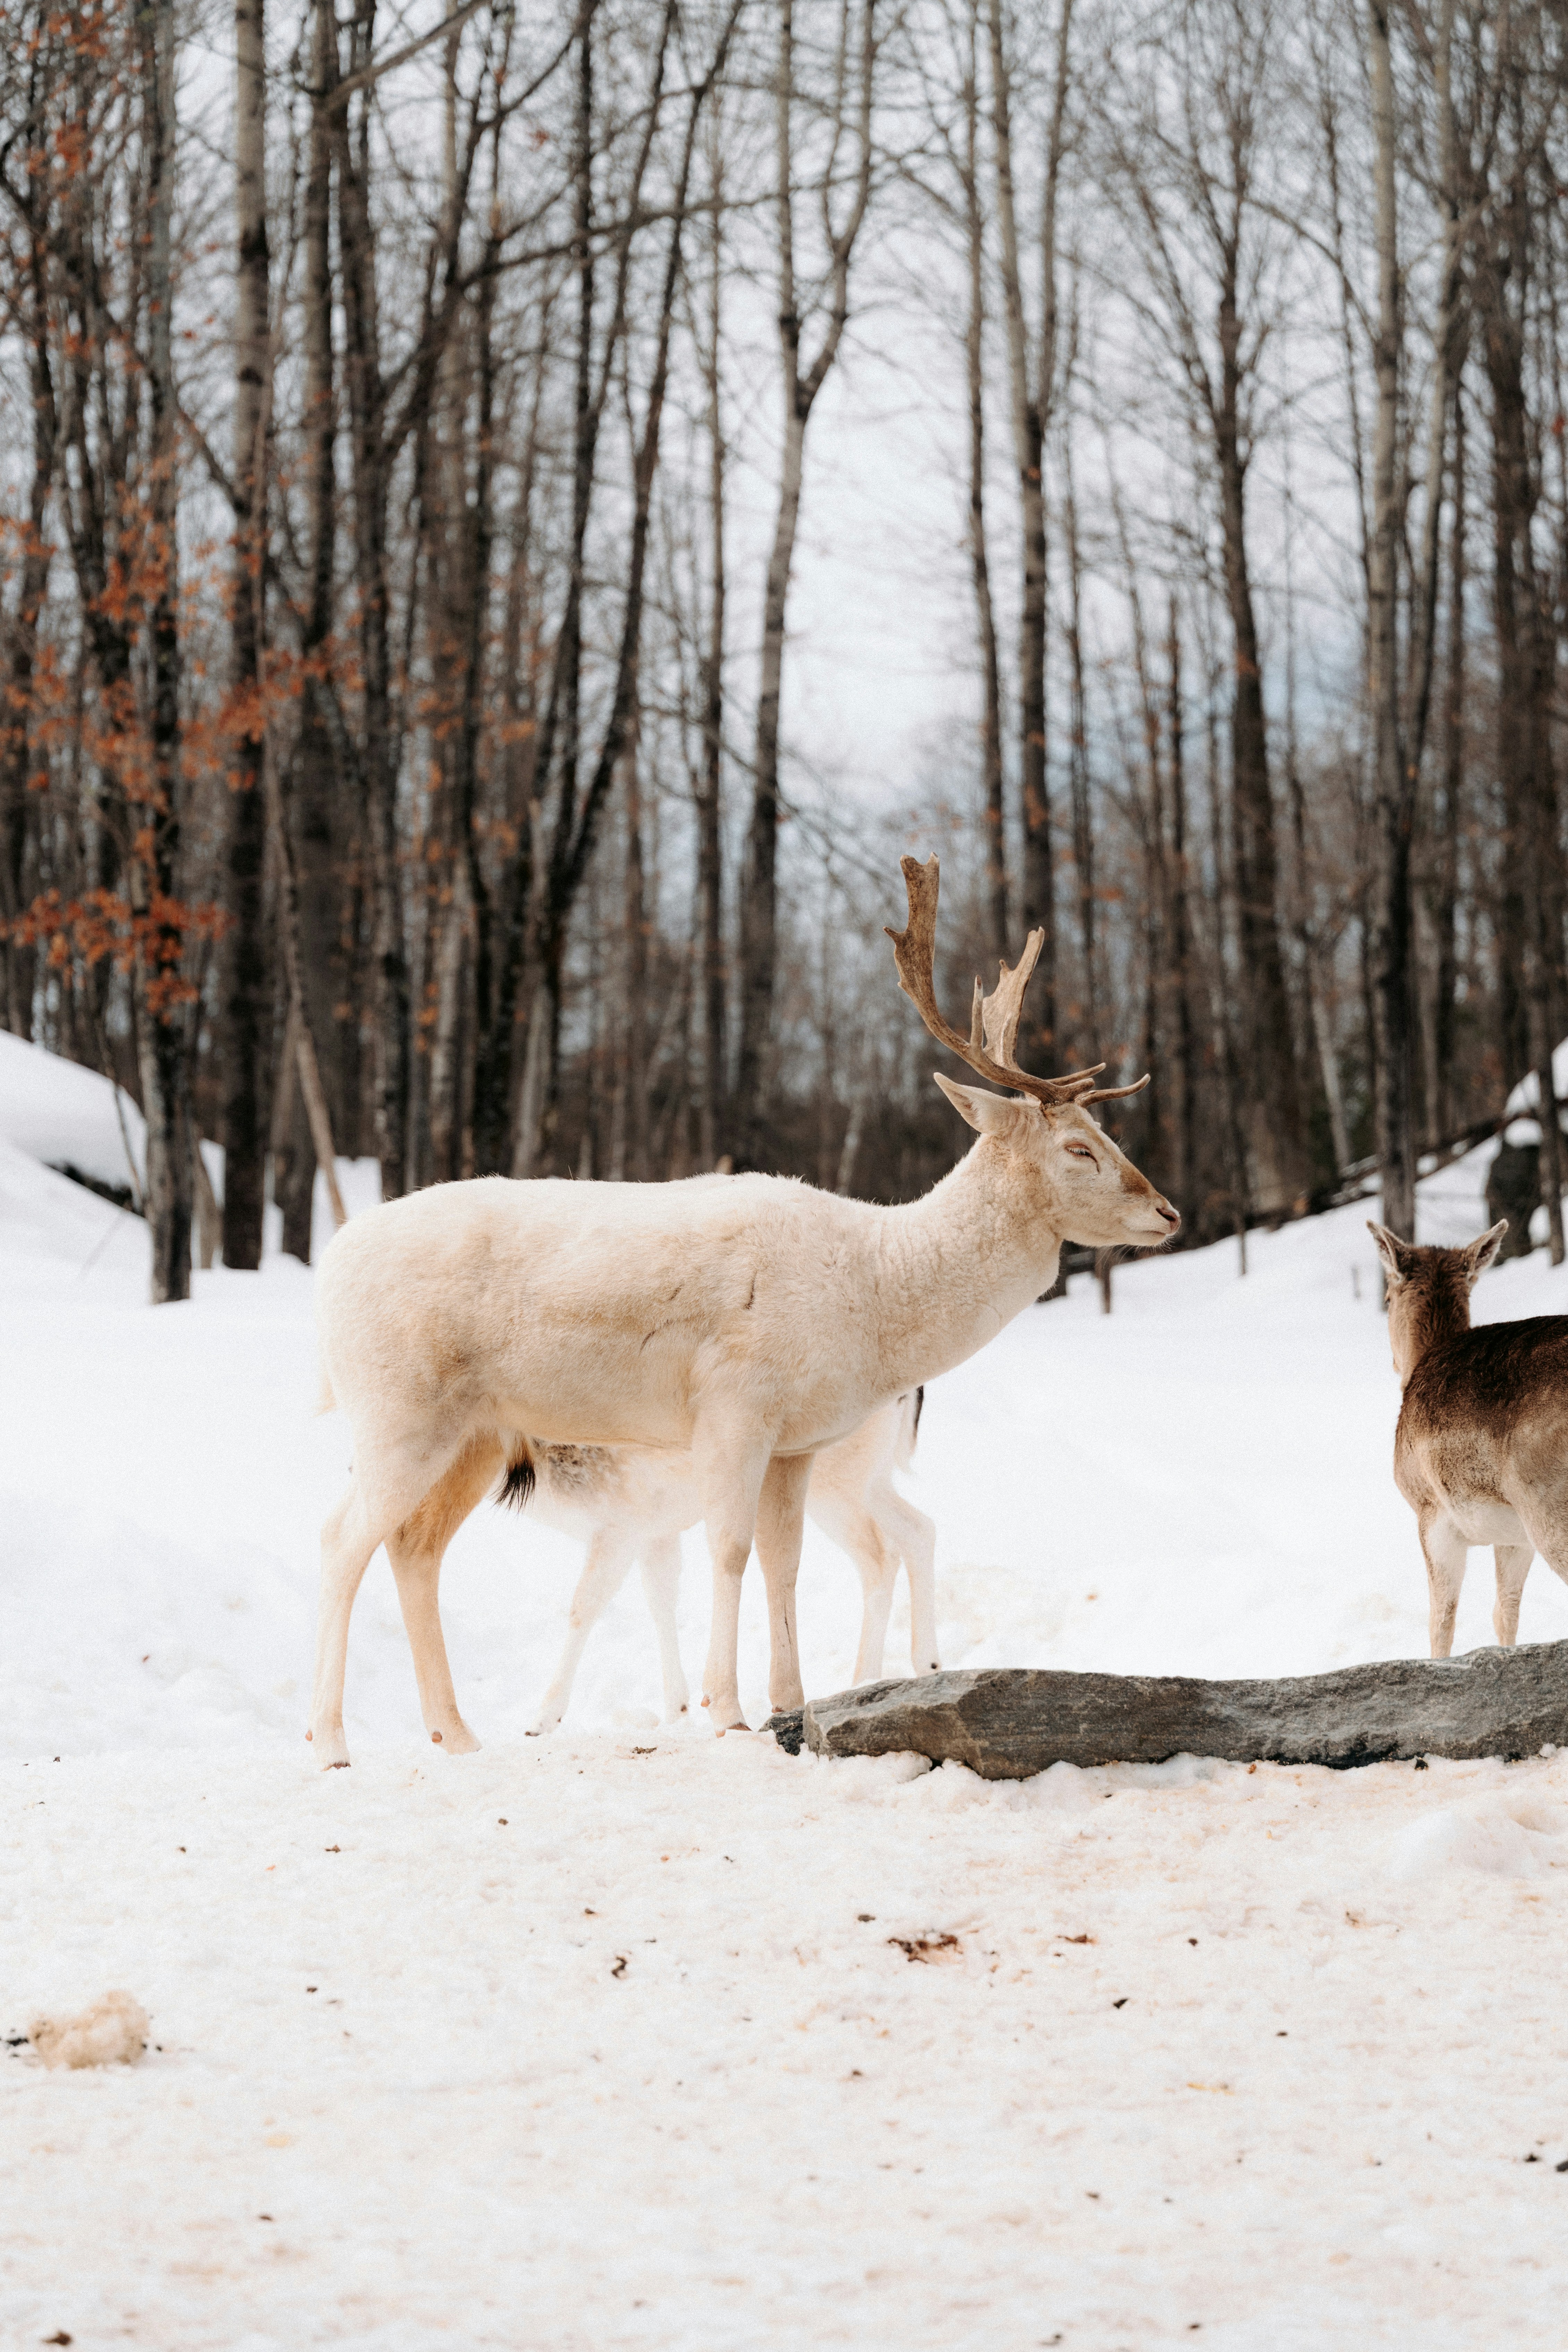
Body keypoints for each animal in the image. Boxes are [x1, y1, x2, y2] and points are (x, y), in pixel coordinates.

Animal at [523, 1391, 937, 1734]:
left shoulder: (618, 1526)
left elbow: (585, 1606)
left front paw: (541, 1721)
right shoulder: (654, 1529)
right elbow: (661, 1599)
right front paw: (676, 1711)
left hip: (838, 1483)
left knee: (880, 1553)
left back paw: (869, 1679)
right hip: (867, 1481)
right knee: (915, 1530)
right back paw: (910, 1669)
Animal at [1369, 1217, 1568, 1656]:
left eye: (1387, 1297)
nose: (1391, 1362)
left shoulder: (1431, 1512)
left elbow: (1441, 1619)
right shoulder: (1515, 1535)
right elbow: (1505, 1609)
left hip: (1548, 1505)